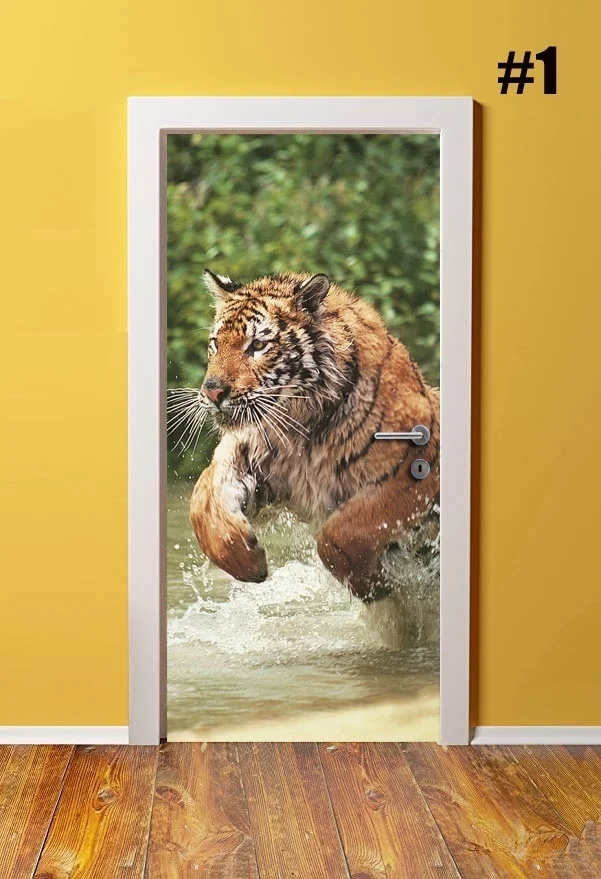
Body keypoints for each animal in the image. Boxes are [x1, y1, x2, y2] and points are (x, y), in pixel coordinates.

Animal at [187, 270, 440, 602]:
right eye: (215, 344)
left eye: (257, 345)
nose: (212, 391)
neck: (299, 428)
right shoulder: (251, 455)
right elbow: (202, 502)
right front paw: (247, 562)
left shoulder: (414, 468)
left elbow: (340, 532)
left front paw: (373, 585)